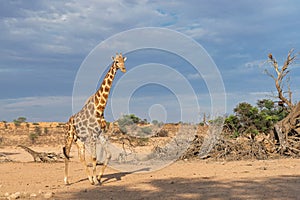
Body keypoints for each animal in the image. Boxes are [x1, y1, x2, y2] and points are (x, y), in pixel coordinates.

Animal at [63, 52, 127, 184]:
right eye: (116, 61)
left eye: (123, 60)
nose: (124, 69)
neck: (99, 108)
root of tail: (68, 121)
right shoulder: (92, 135)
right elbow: (94, 157)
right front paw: (96, 180)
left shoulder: (100, 134)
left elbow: (108, 155)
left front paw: (98, 178)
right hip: (69, 136)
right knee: (66, 154)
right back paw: (66, 180)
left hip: (79, 139)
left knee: (81, 157)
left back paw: (89, 179)